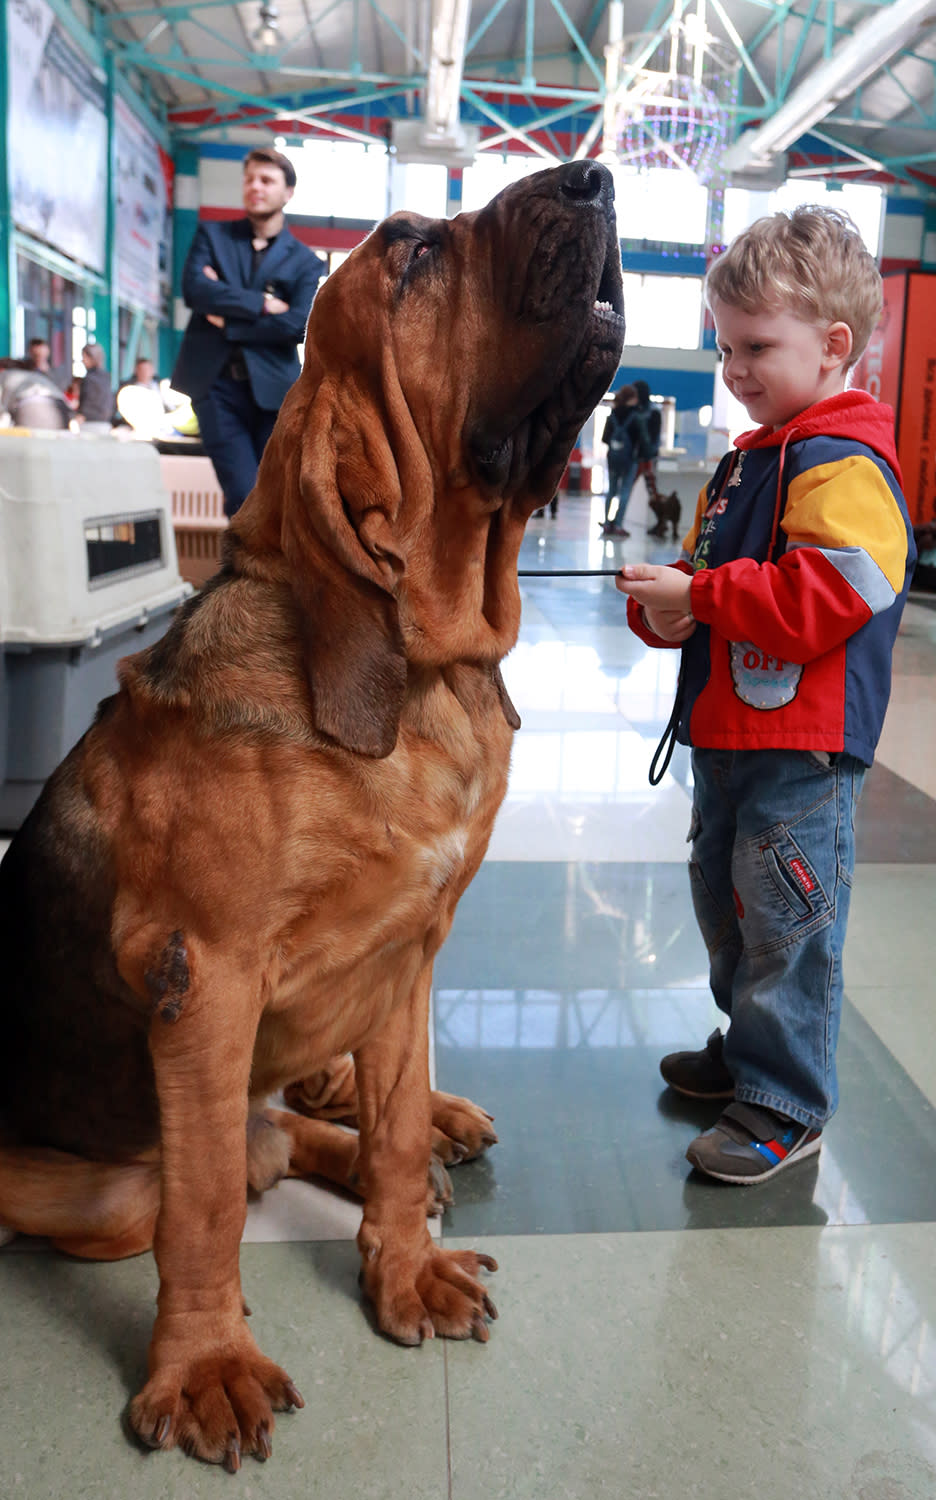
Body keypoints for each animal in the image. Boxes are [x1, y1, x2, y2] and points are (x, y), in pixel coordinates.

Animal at [1, 158, 630, 1470]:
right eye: (414, 253)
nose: (596, 178)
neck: (426, 669)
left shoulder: (411, 950)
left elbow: (382, 1127)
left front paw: (405, 1261)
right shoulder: (207, 983)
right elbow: (202, 1213)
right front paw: (205, 1367)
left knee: (299, 1121)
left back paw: (433, 1131)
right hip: (97, 1178)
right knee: (221, 1164)